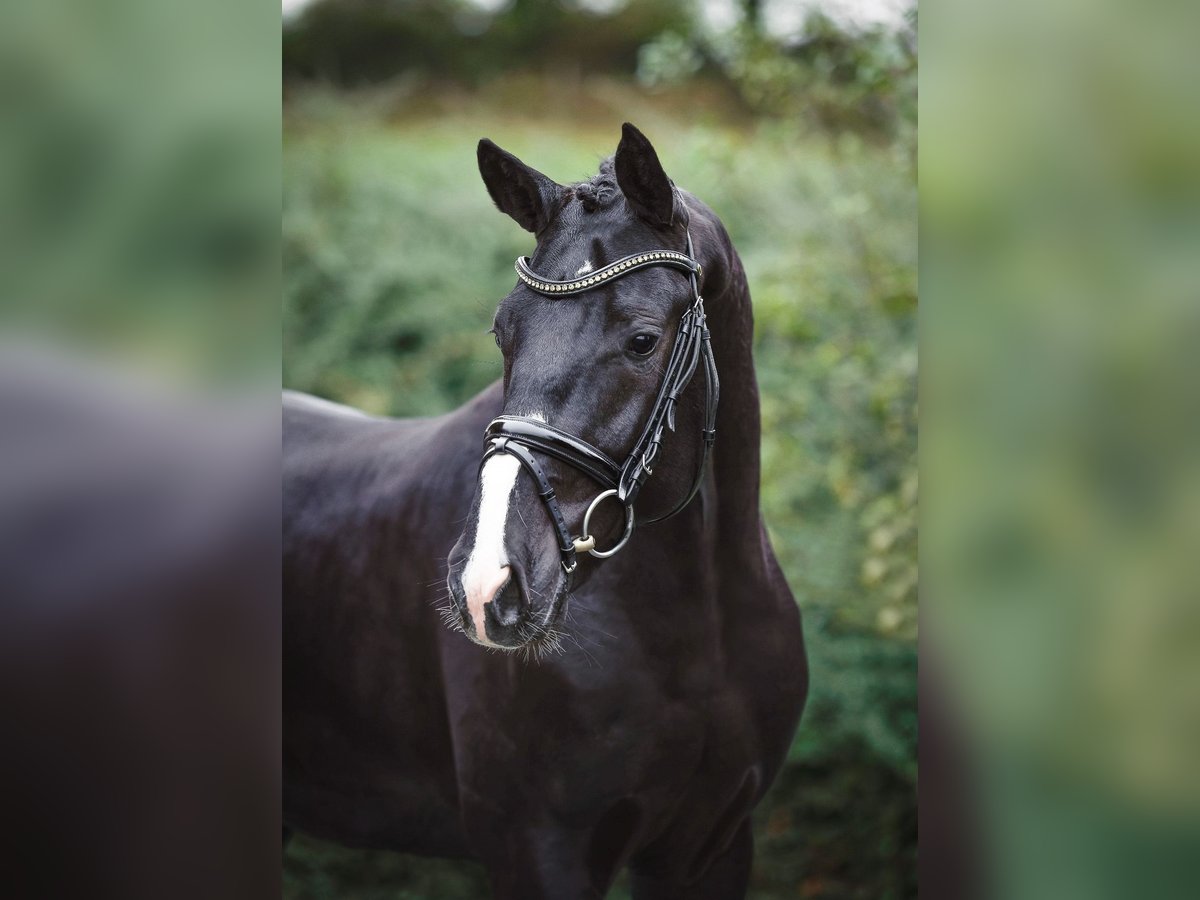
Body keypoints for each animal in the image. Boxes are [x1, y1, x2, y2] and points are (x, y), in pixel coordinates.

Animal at [283, 123, 806, 897]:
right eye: (504, 332)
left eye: (643, 339)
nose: (486, 586)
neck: (699, 626)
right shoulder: (540, 851)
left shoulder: (712, 845)